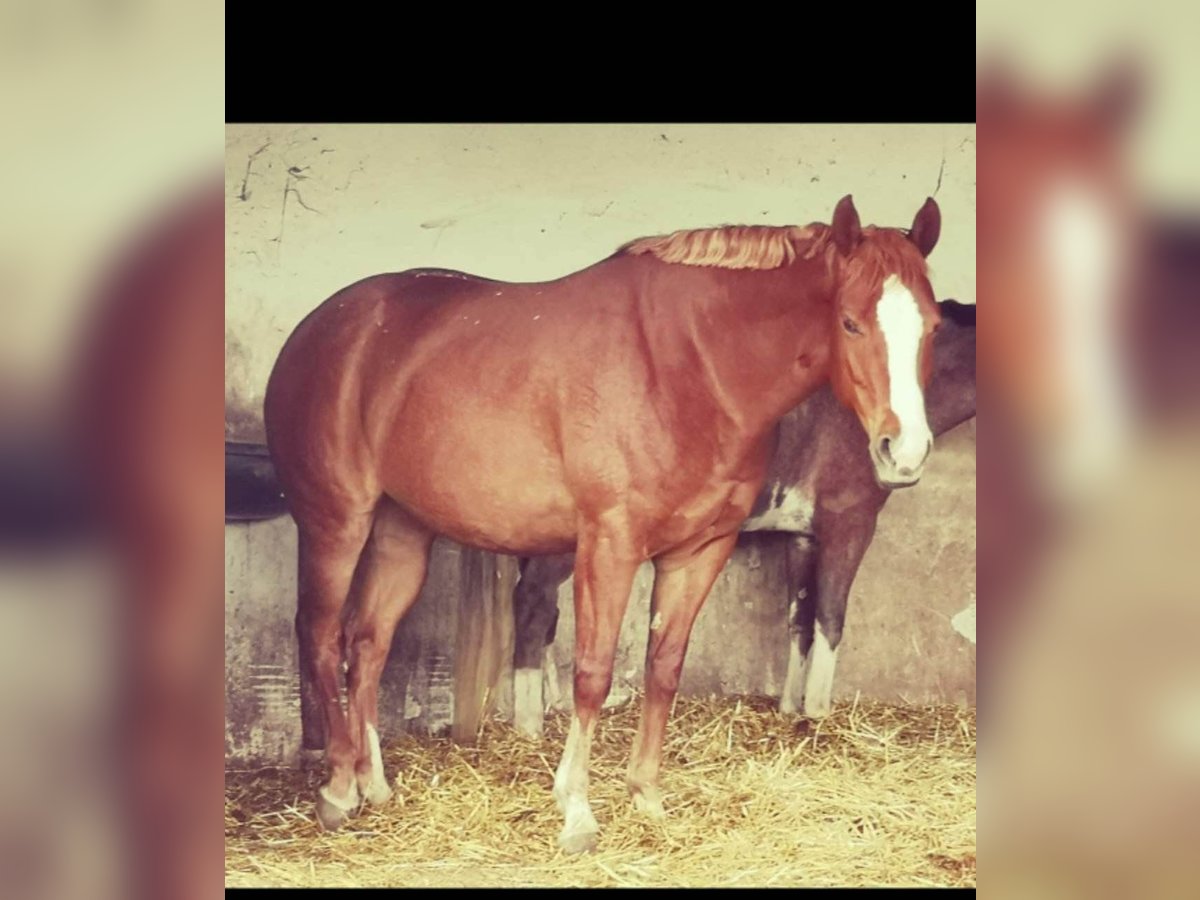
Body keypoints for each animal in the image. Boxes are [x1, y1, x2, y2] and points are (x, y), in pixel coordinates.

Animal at [509, 300, 975, 736]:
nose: (903, 459)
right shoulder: (849, 525)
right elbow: (830, 618)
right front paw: (817, 713)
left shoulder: (802, 536)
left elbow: (799, 619)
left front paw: (789, 707)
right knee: (533, 602)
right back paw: (529, 724)